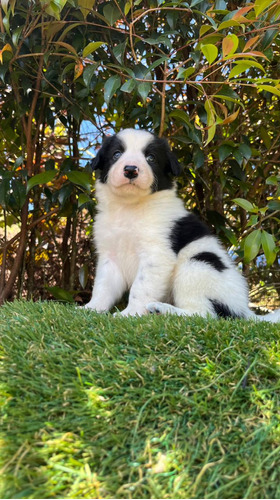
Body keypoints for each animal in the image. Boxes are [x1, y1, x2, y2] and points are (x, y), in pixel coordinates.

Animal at [85, 128, 280, 324]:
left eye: (151, 158)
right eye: (116, 154)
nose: (131, 170)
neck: (130, 207)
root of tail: (245, 311)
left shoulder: (156, 255)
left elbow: (140, 287)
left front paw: (130, 313)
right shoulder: (110, 255)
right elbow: (103, 286)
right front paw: (90, 309)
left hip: (197, 266)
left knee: (204, 314)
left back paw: (163, 309)